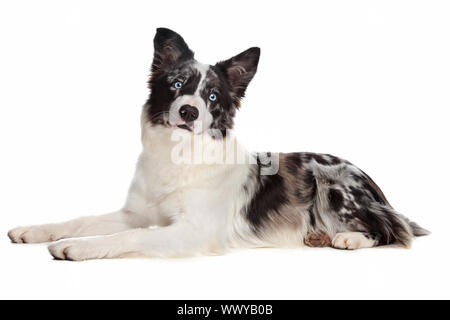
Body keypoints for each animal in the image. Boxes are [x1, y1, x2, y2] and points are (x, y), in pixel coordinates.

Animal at [6, 28, 428, 262]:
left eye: (211, 96)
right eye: (176, 84)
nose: (189, 110)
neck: (179, 155)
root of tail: (374, 185)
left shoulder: (192, 231)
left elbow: (128, 237)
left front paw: (77, 248)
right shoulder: (138, 212)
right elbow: (82, 220)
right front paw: (34, 231)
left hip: (333, 183)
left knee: (391, 229)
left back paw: (347, 238)